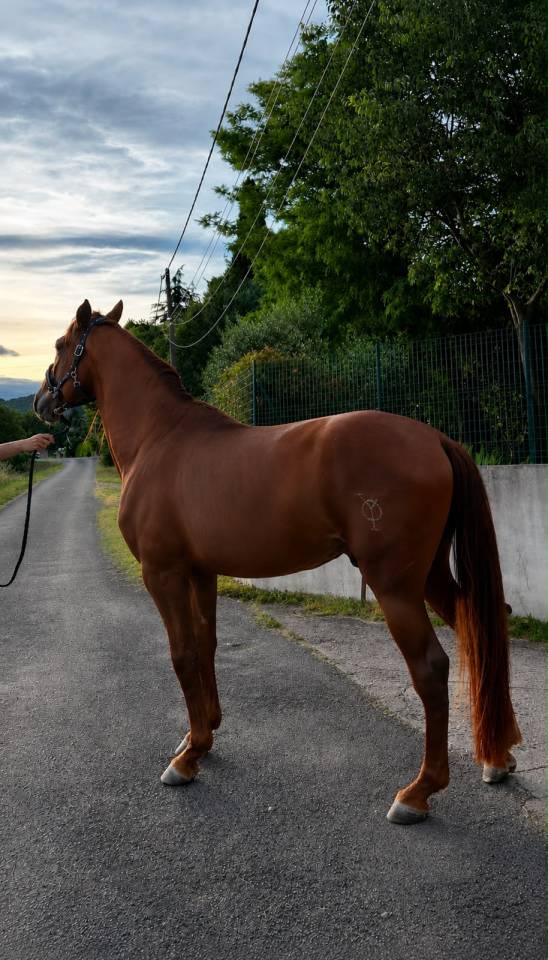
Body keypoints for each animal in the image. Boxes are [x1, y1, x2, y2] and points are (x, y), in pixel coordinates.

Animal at [34, 300, 521, 825]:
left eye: (61, 345)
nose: (41, 400)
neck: (158, 438)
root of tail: (434, 439)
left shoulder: (162, 574)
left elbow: (182, 655)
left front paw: (186, 759)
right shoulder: (201, 572)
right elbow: (205, 646)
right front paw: (202, 735)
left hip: (396, 587)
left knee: (431, 668)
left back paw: (418, 792)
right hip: (429, 577)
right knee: (484, 628)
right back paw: (499, 755)